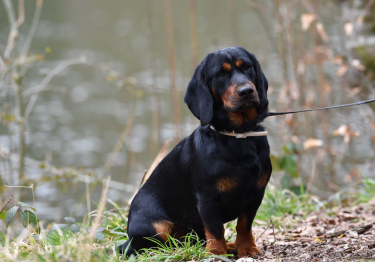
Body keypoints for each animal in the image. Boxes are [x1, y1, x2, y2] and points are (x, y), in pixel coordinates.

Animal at [122, 45, 272, 258]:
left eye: (247, 67)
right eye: (220, 74)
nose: (247, 91)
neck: (237, 136)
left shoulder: (256, 193)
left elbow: (244, 225)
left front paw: (247, 248)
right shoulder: (207, 198)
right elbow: (216, 229)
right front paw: (217, 253)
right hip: (154, 225)